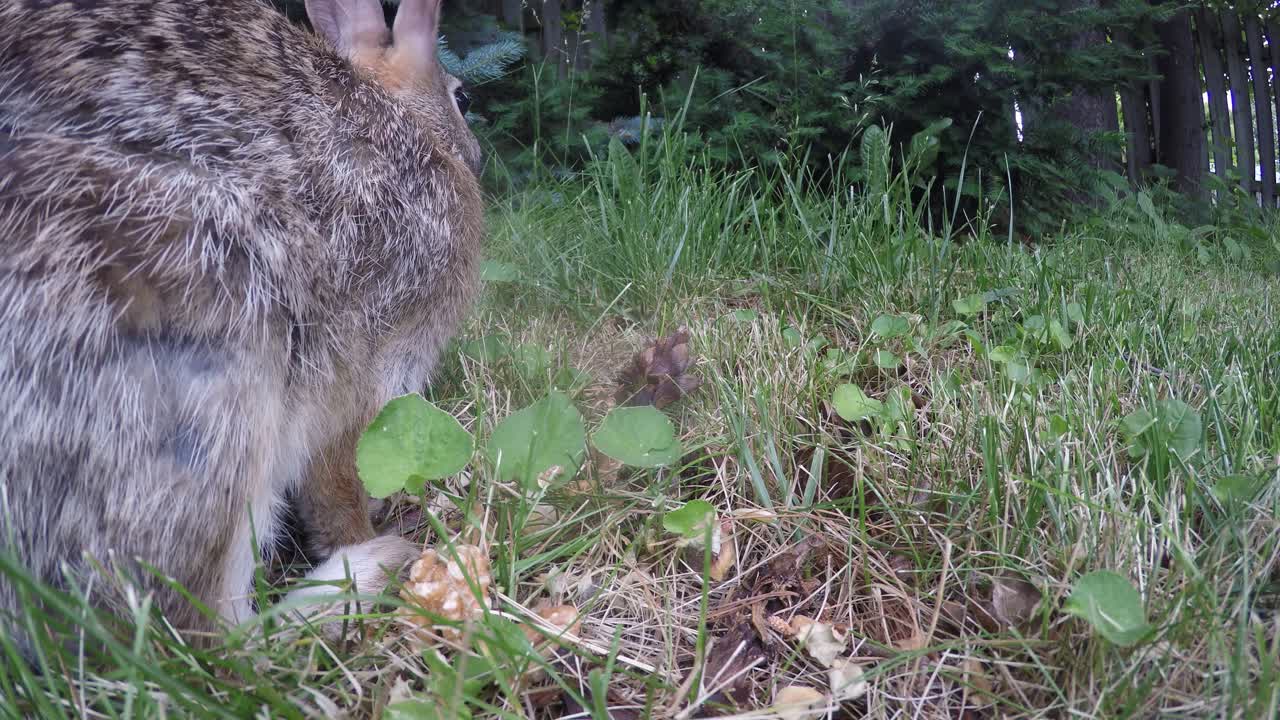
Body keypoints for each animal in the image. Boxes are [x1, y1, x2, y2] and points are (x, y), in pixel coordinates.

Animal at [0, 0, 483, 654]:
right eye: (463, 98)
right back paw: (373, 568)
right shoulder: (362, 373)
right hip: (214, 357)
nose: (477, 153)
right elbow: (338, 482)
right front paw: (360, 534)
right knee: (209, 639)